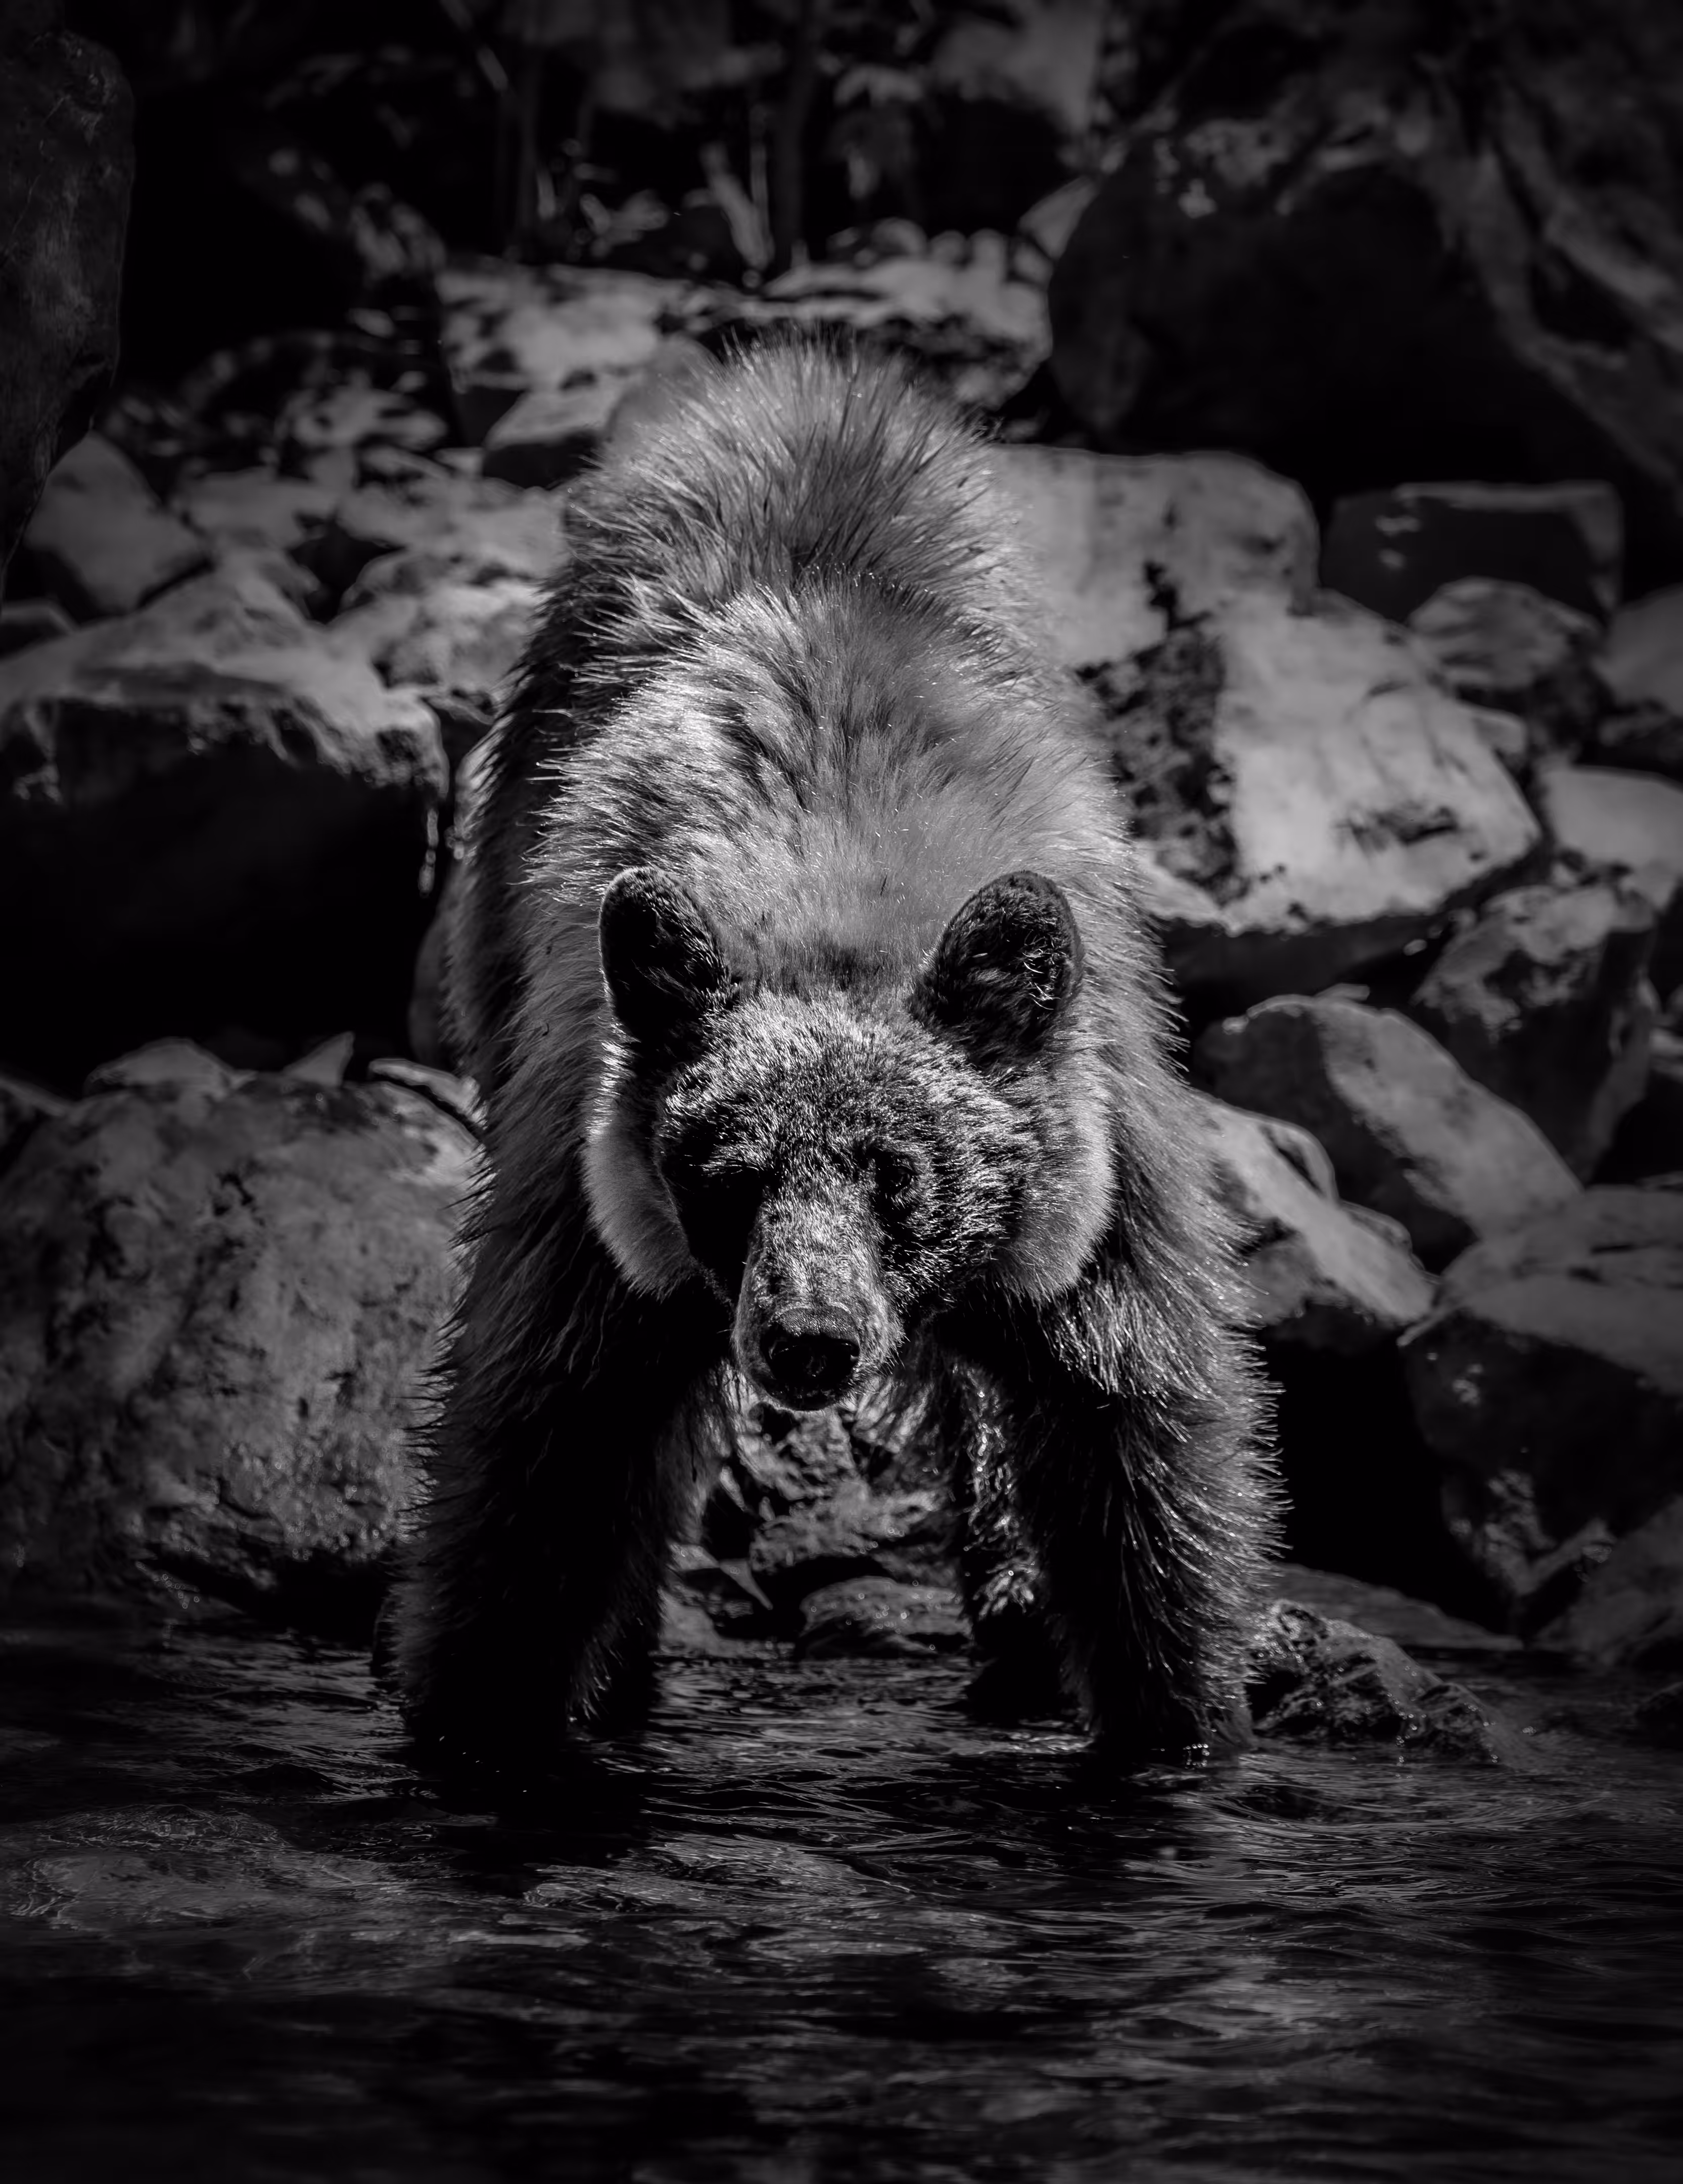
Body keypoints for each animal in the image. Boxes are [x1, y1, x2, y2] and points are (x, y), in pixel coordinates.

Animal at [391, 336, 1275, 1765]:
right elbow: (550, 1439)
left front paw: (1176, 1722)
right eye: (726, 1174)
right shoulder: (588, 1162)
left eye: (896, 1172)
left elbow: (1131, 1430)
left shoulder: (1095, 1151)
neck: (843, 881)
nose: (809, 1337)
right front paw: (481, 1721)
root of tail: (798, 373)